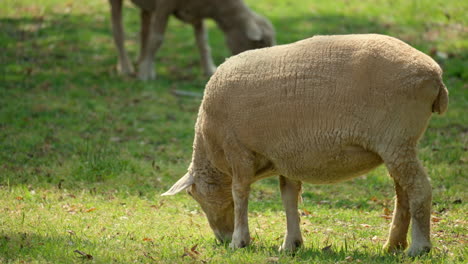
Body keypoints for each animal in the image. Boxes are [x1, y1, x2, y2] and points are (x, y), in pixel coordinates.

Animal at [108, 0, 276, 79]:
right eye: (260, 43)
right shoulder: (164, 5)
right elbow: (157, 39)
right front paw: (145, 74)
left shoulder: (197, 12)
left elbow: (203, 43)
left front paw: (209, 70)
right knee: (118, 30)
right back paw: (125, 67)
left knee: (144, 29)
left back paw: (141, 59)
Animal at [163, 33, 448, 256]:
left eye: (193, 195)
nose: (220, 239)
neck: (208, 144)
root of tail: (435, 75)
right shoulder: (286, 159)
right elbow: (288, 198)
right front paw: (291, 244)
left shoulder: (238, 151)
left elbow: (239, 195)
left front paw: (239, 241)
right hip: (397, 145)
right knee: (403, 193)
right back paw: (392, 246)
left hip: (396, 140)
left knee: (419, 189)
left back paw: (419, 247)